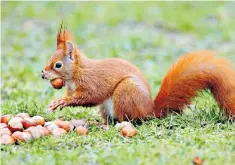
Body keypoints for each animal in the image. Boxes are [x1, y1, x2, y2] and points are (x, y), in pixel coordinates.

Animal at [41, 24, 235, 124]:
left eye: (58, 65)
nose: (43, 74)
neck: (76, 74)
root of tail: (149, 110)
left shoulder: (91, 83)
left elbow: (90, 96)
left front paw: (60, 102)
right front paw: (58, 102)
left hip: (125, 93)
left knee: (126, 120)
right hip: (107, 107)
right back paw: (101, 123)